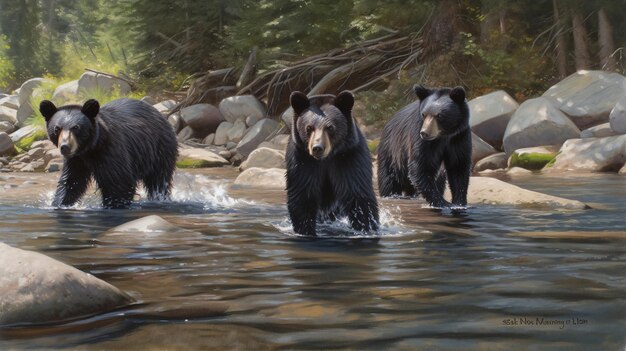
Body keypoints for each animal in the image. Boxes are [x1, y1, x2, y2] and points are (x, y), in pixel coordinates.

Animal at [39, 98, 177, 209]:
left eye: (76, 127)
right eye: (57, 128)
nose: (65, 147)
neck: (90, 149)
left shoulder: (110, 150)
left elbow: (119, 181)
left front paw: (113, 205)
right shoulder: (76, 160)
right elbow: (71, 182)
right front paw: (59, 203)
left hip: (159, 149)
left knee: (159, 180)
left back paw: (160, 197)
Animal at [286, 92, 378, 238]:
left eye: (330, 127)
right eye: (309, 127)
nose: (317, 148)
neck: (326, 158)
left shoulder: (348, 156)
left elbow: (357, 193)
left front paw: (367, 228)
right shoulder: (302, 160)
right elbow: (302, 194)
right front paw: (306, 231)